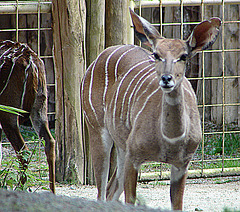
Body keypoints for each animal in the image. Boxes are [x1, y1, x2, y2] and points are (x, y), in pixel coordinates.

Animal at [81, 8, 222, 210]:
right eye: (156, 54)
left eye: (184, 56)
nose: (166, 78)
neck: (170, 140)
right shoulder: (134, 156)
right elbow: (131, 200)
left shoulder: (181, 165)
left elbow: (177, 205)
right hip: (97, 129)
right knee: (101, 192)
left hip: (122, 146)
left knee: (110, 190)